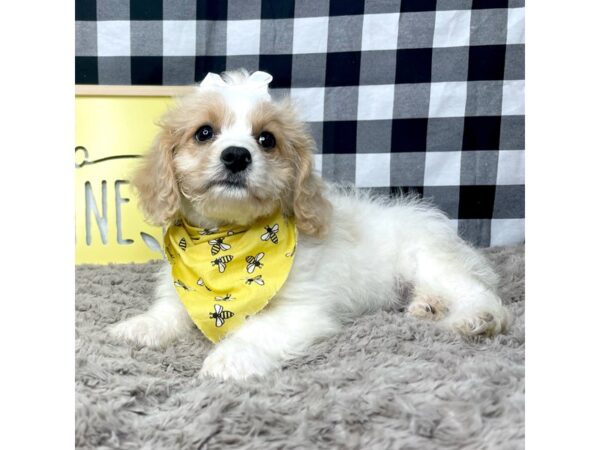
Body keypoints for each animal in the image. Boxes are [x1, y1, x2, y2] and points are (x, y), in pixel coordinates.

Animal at [110, 70, 508, 380]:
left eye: (266, 139)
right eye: (204, 133)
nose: (237, 156)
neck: (226, 241)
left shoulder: (303, 310)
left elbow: (258, 329)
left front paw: (230, 358)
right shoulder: (182, 287)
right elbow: (169, 310)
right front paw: (140, 326)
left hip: (431, 262)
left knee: (479, 294)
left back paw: (475, 319)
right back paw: (428, 307)